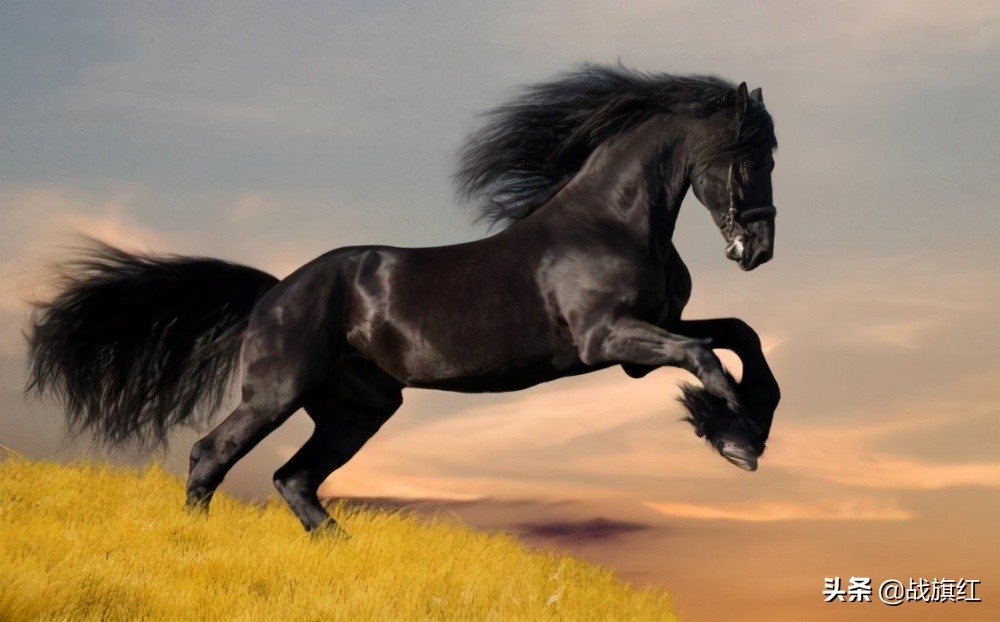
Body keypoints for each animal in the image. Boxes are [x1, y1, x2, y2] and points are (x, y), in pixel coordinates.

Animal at [26, 64, 780, 534]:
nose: (759, 249)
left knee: (294, 479)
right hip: (277, 392)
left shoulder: (645, 337)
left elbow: (739, 335)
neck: (610, 222)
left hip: (359, 407)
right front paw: (733, 436)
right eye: (750, 156)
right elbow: (705, 357)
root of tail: (274, 292)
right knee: (212, 455)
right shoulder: (609, 340)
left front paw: (747, 425)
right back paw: (196, 543)